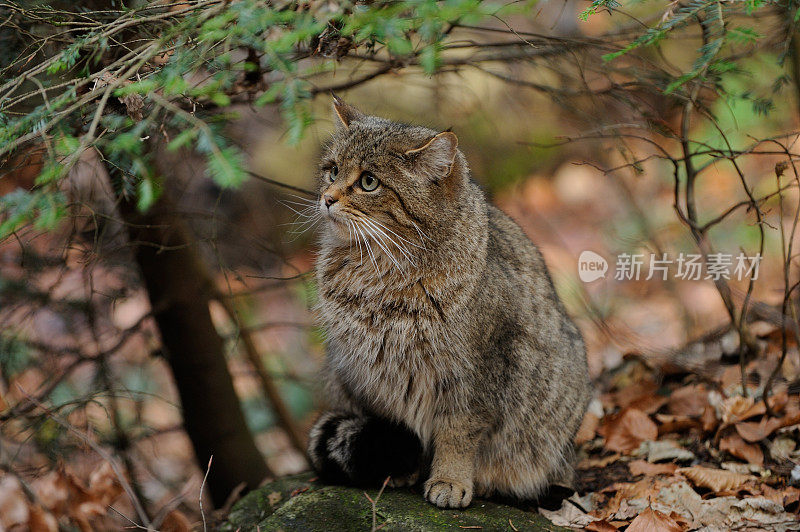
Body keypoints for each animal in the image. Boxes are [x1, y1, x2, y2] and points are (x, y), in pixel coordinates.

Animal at [304, 97, 592, 510]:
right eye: (332, 171)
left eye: (369, 182)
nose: (326, 199)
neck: (377, 270)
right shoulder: (368, 375)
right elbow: (393, 425)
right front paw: (403, 468)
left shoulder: (474, 378)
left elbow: (458, 435)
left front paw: (451, 479)